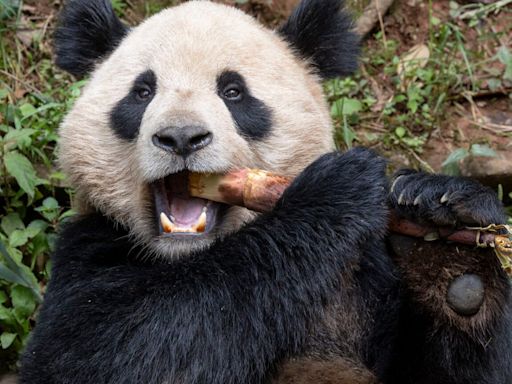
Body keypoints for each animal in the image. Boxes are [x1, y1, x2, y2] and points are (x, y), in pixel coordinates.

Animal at [18, 0, 510, 384]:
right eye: (141, 92)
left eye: (234, 92)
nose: (181, 137)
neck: (189, 257)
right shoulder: (89, 247)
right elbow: (111, 354)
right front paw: (334, 192)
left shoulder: (365, 277)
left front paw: (446, 231)